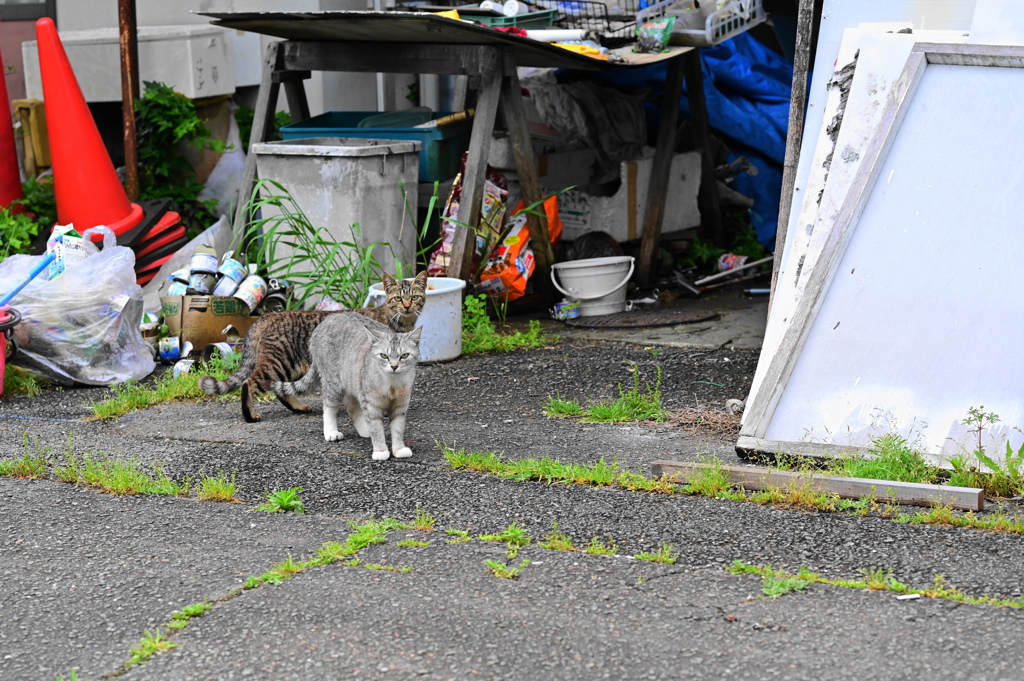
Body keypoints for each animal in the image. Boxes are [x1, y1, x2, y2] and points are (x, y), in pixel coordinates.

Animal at [199, 270, 428, 419]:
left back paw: (299, 408)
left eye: (415, 297)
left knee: (281, 390)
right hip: (278, 363)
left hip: (290, 366)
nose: (407, 306)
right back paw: (250, 415)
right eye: (398, 298)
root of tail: (268, 316)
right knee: (250, 382)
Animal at [270, 311, 421, 458]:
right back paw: (332, 431)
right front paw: (380, 450)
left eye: (404, 355)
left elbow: (398, 428)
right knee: (329, 407)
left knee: (351, 407)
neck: (392, 385)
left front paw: (399, 448)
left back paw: (365, 430)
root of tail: (326, 320)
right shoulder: (371, 404)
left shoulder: (400, 406)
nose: (394, 366)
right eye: (384, 356)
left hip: (352, 383)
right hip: (334, 385)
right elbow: (376, 428)